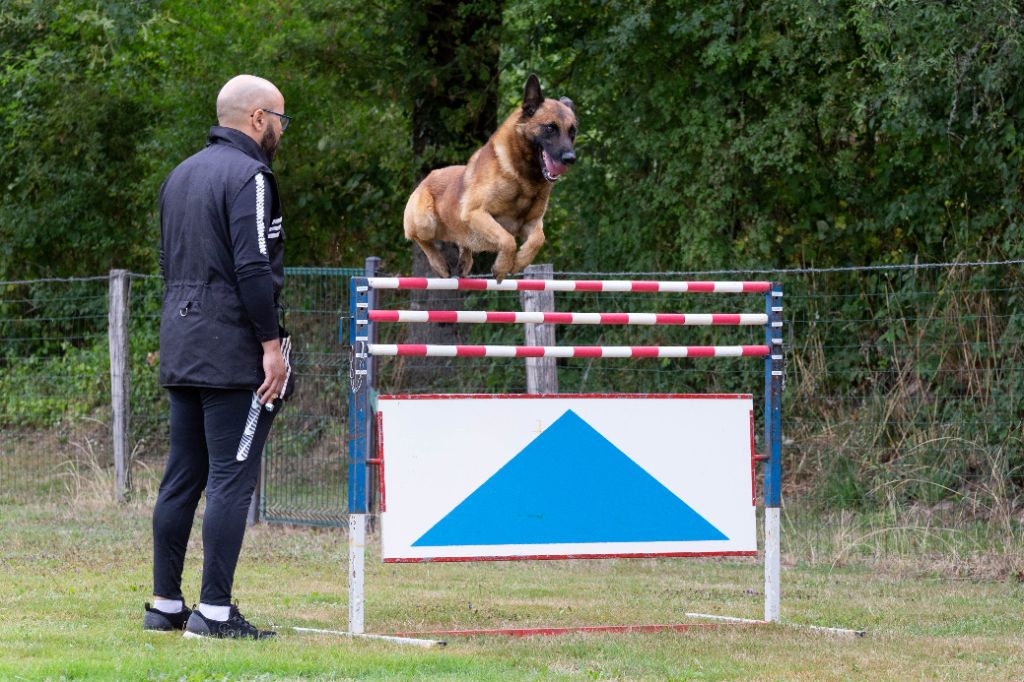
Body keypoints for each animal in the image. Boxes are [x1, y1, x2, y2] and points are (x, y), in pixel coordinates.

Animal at [405, 75, 581, 282]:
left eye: (572, 132)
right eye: (550, 128)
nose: (570, 158)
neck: (524, 179)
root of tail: (426, 179)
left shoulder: (532, 222)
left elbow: (538, 239)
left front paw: (519, 262)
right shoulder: (476, 213)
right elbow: (508, 240)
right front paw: (502, 267)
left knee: (463, 242)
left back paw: (465, 261)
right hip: (425, 221)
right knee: (420, 238)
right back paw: (439, 263)